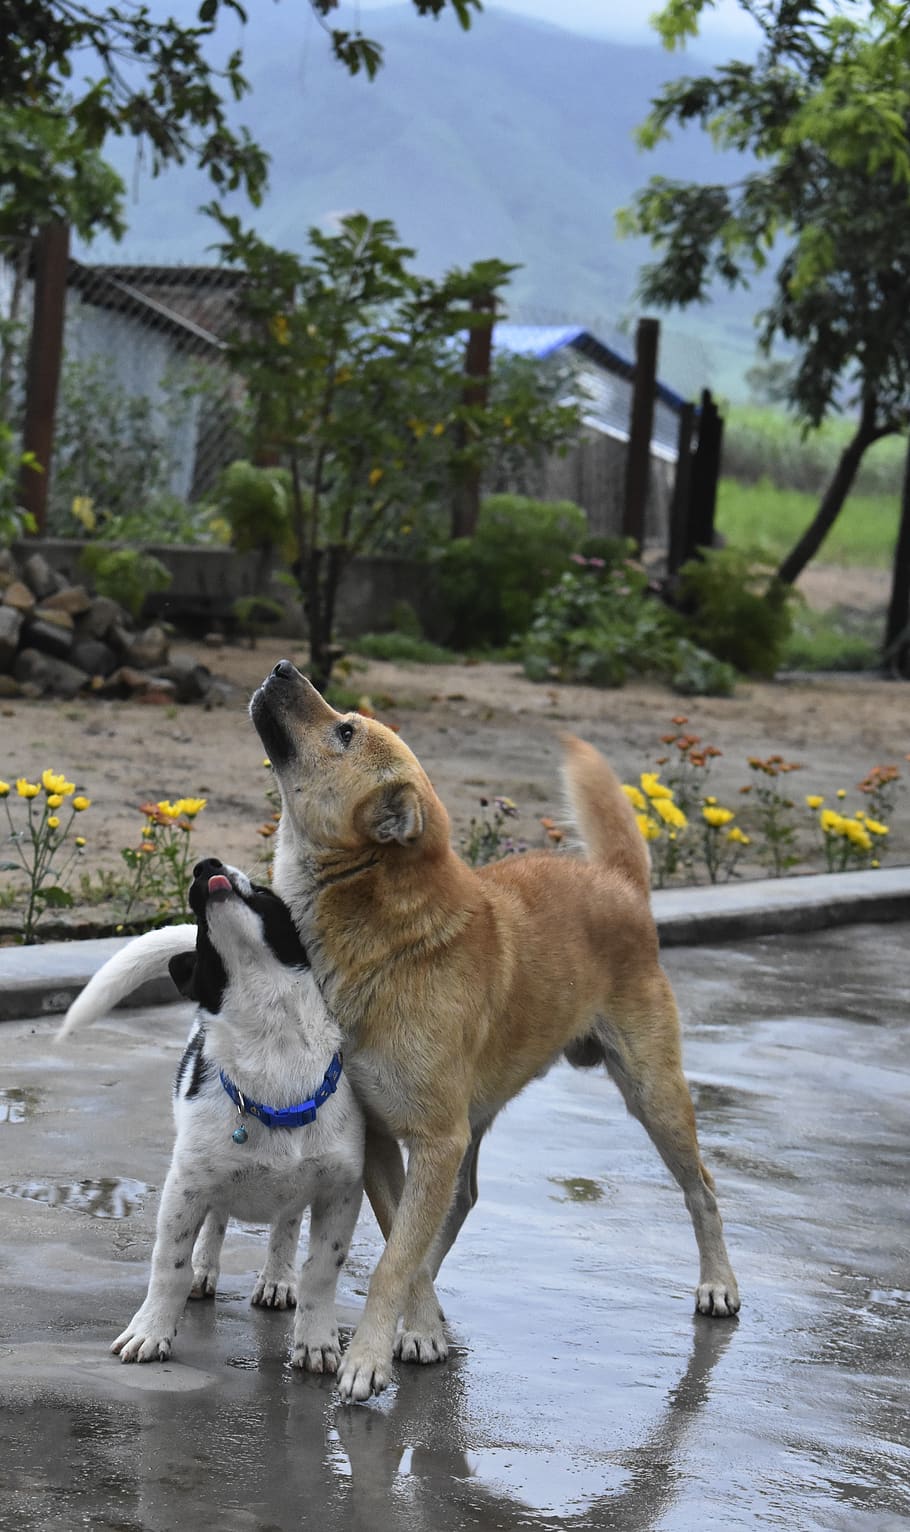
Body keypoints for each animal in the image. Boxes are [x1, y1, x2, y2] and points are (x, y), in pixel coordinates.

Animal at [57, 864, 364, 1378]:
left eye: (264, 892)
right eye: (202, 930)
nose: (205, 866)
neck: (274, 1053)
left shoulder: (341, 1190)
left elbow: (321, 1272)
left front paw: (316, 1340)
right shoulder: (186, 1185)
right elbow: (170, 1264)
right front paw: (152, 1330)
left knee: (285, 1224)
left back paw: (277, 1277)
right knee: (215, 1219)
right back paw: (205, 1268)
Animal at [249, 658, 735, 1403]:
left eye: (344, 732)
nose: (282, 665)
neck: (385, 938)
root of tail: (619, 882)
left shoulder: (435, 1139)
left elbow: (396, 1259)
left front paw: (370, 1357)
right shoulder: (388, 1140)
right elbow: (402, 1243)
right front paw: (416, 1331)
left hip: (654, 1095)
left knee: (702, 1188)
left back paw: (718, 1284)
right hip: (478, 1119)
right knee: (461, 1203)